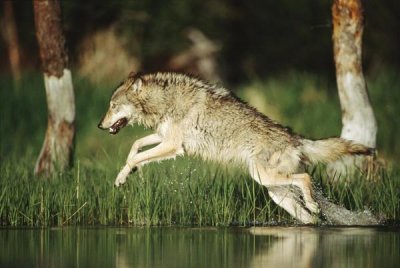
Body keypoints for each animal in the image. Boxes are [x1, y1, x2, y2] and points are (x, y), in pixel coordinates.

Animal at [98, 72, 374, 223]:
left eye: (113, 106)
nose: (100, 125)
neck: (165, 101)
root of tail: (295, 138)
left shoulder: (173, 145)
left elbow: (136, 156)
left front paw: (127, 172)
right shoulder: (164, 138)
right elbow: (135, 146)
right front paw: (124, 175)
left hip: (266, 178)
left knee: (305, 179)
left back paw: (314, 204)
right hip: (274, 190)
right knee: (309, 216)